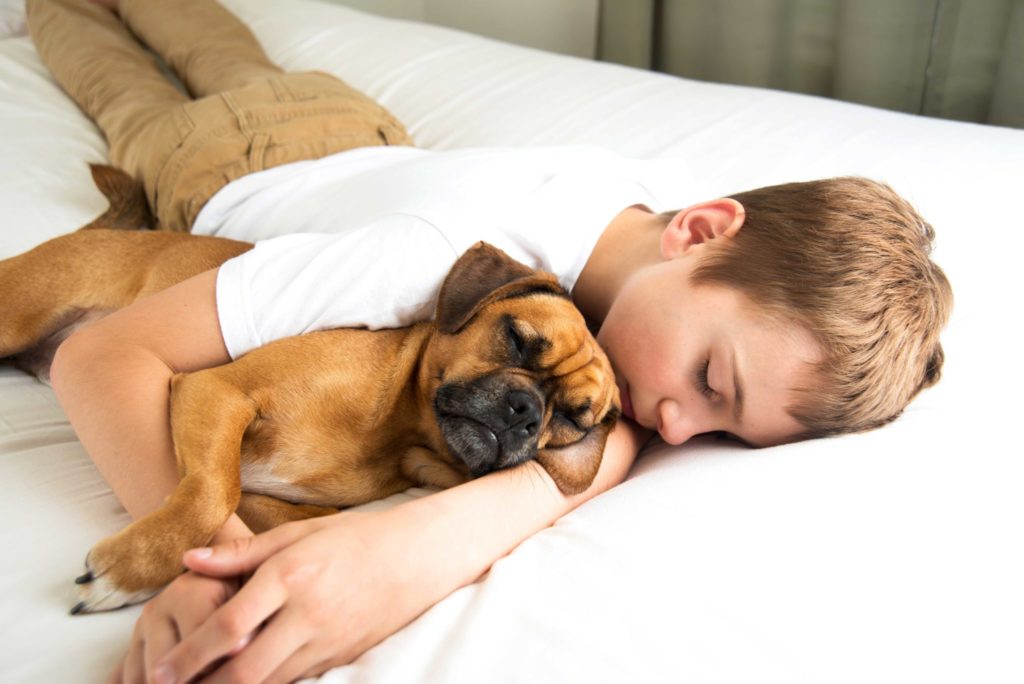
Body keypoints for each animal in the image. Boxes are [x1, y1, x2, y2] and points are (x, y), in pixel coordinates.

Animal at [0, 166, 614, 614]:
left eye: (572, 419)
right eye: (516, 339)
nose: (526, 411)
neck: (400, 431)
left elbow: (260, 506)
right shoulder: (217, 390)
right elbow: (212, 491)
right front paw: (136, 568)